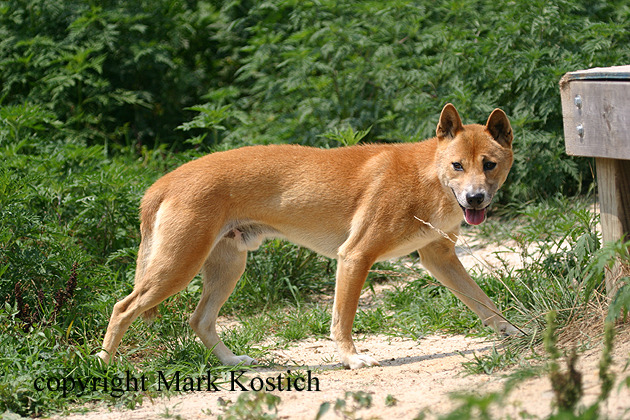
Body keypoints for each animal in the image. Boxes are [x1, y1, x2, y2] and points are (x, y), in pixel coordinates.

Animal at [99, 103, 520, 370]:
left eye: (489, 165)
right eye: (457, 165)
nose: (475, 198)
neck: (429, 177)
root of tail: (163, 182)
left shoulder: (439, 257)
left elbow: (487, 305)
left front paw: (519, 332)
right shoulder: (355, 256)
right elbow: (342, 321)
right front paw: (352, 359)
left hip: (226, 267)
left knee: (199, 320)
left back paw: (233, 361)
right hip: (177, 266)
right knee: (123, 308)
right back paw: (102, 366)